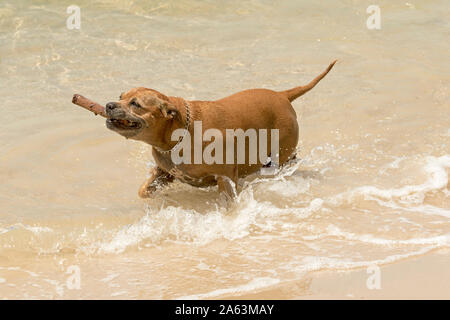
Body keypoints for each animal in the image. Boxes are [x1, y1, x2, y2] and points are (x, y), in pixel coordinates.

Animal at [105, 60, 336, 198]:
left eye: (135, 104)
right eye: (120, 97)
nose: (108, 105)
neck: (178, 135)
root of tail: (282, 95)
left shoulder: (226, 177)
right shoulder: (164, 173)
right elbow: (144, 190)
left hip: (281, 154)